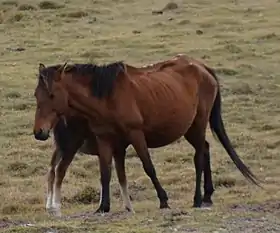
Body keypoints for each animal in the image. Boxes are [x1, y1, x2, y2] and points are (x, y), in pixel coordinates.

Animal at [33, 54, 260, 217]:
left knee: (199, 156)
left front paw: (163, 199)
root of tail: (202, 67)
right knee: (205, 149)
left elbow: (148, 167)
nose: (39, 132)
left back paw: (197, 199)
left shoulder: (136, 135)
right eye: (36, 95)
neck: (106, 97)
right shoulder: (105, 140)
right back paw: (207, 196)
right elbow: (105, 173)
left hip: (197, 124)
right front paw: (103, 207)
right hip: (190, 129)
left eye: (51, 95)